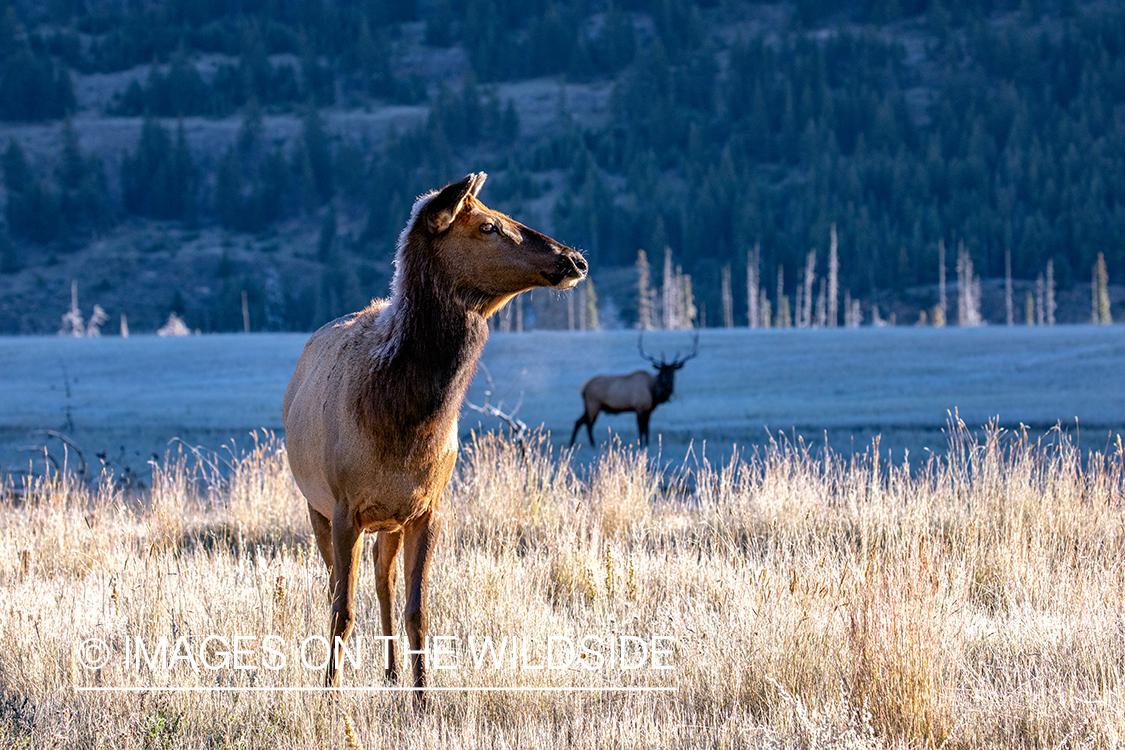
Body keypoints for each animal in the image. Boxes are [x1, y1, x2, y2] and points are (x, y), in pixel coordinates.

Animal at [280, 172, 585, 706]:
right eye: (487, 225)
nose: (575, 258)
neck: (403, 427)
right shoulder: (343, 506)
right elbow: (342, 610)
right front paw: (330, 695)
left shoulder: (427, 507)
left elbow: (418, 609)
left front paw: (423, 699)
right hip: (315, 505)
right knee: (337, 586)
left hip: (389, 521)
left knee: (382, 580)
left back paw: (391, 672)